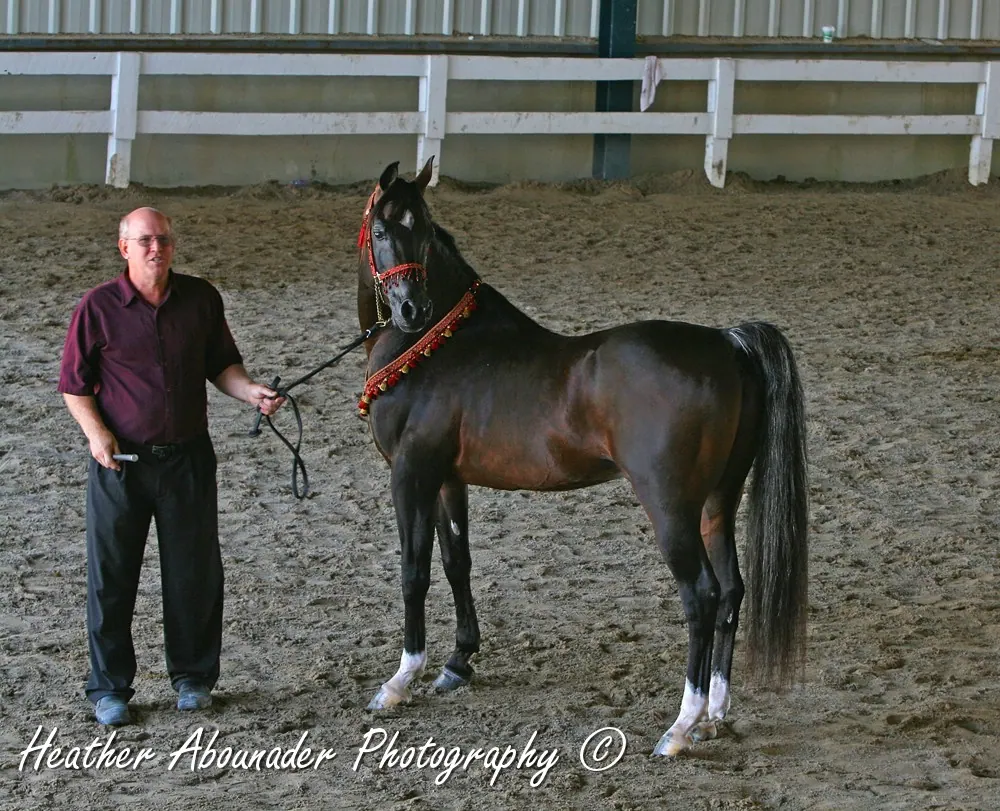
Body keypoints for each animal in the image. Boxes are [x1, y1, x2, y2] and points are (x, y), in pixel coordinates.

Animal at [353, 158, 808, 757]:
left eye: (424, 230)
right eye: (383, 231)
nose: (411, 308)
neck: (433, 346)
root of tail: (727, 343)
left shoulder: (410, 475)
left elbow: (414, 570)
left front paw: (400, 680)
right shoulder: (448, 479)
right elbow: (456, 563)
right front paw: (457, 663)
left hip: (670, 506)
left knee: (702, 595)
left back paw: (680, 727)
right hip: (719, 499)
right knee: (732, 591)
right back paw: (713, 716)